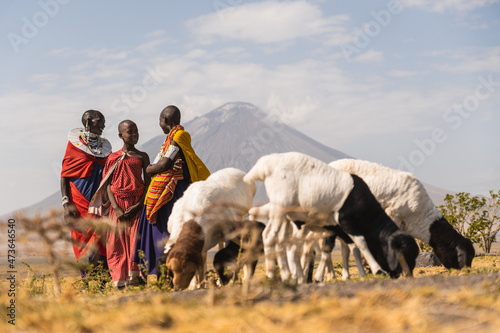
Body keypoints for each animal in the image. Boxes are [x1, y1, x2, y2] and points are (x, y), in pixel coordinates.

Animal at [244, 152, 420, 282]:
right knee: (269, 236)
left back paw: (289, 276)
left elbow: (337, 249)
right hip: (280, 209)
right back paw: (274, 275)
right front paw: (377, 270)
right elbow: (361, 243)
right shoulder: (345, 220)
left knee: (283, 242)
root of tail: (265, 165)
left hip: (285, 217)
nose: (407, 275)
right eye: (405, 253)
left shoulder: (332, 228)